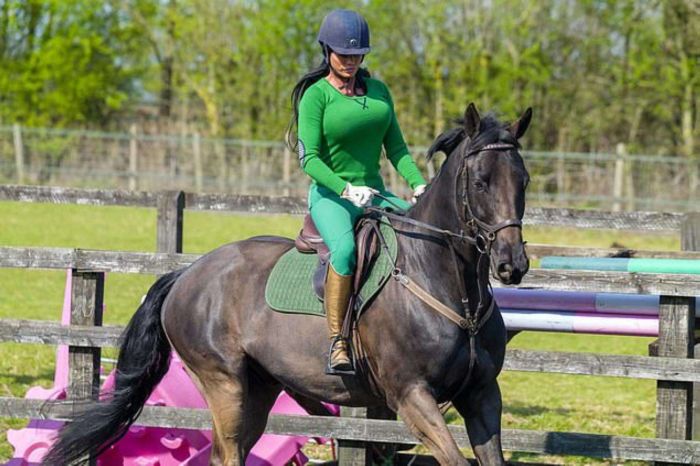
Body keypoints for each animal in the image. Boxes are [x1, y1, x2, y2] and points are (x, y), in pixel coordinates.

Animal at [42, 103, 531, 466]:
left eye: (523, 180)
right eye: (481, 182)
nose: (512, 265)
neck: (452, 285)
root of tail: (188, 273)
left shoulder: (482, 395)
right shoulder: (411, 396)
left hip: (259, 388)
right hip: (224, 384)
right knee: (226, 453)